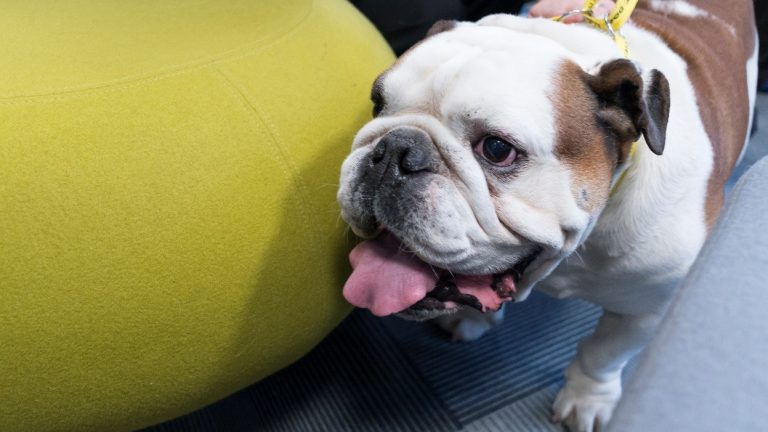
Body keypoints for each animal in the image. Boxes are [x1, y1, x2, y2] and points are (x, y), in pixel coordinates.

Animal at [337, 1, 757, 430]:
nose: (393, 150)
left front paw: (586, 398)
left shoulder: (646, 306)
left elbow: (603, 354)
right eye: (378, 104)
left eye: (496, 148)